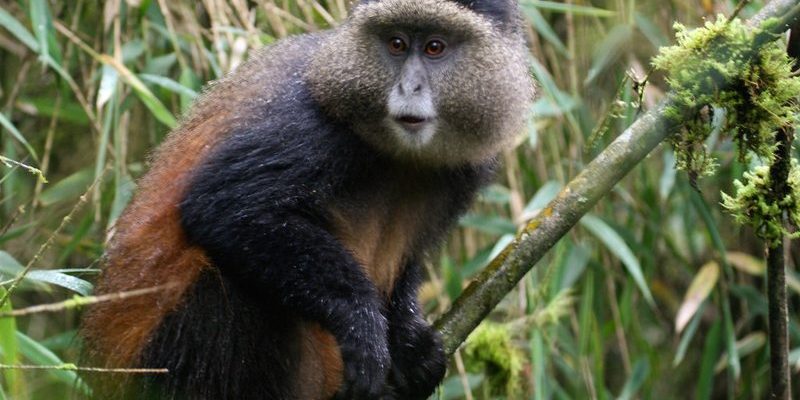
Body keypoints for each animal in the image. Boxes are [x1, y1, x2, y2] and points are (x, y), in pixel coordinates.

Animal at [79, 0, 533, 399]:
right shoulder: (309, 125)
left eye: (435, 47)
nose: (410, 86)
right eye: (397, 44)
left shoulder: (471, 166)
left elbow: (411, 261)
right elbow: (225, 207)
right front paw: (362, 323)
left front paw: (411, 342)